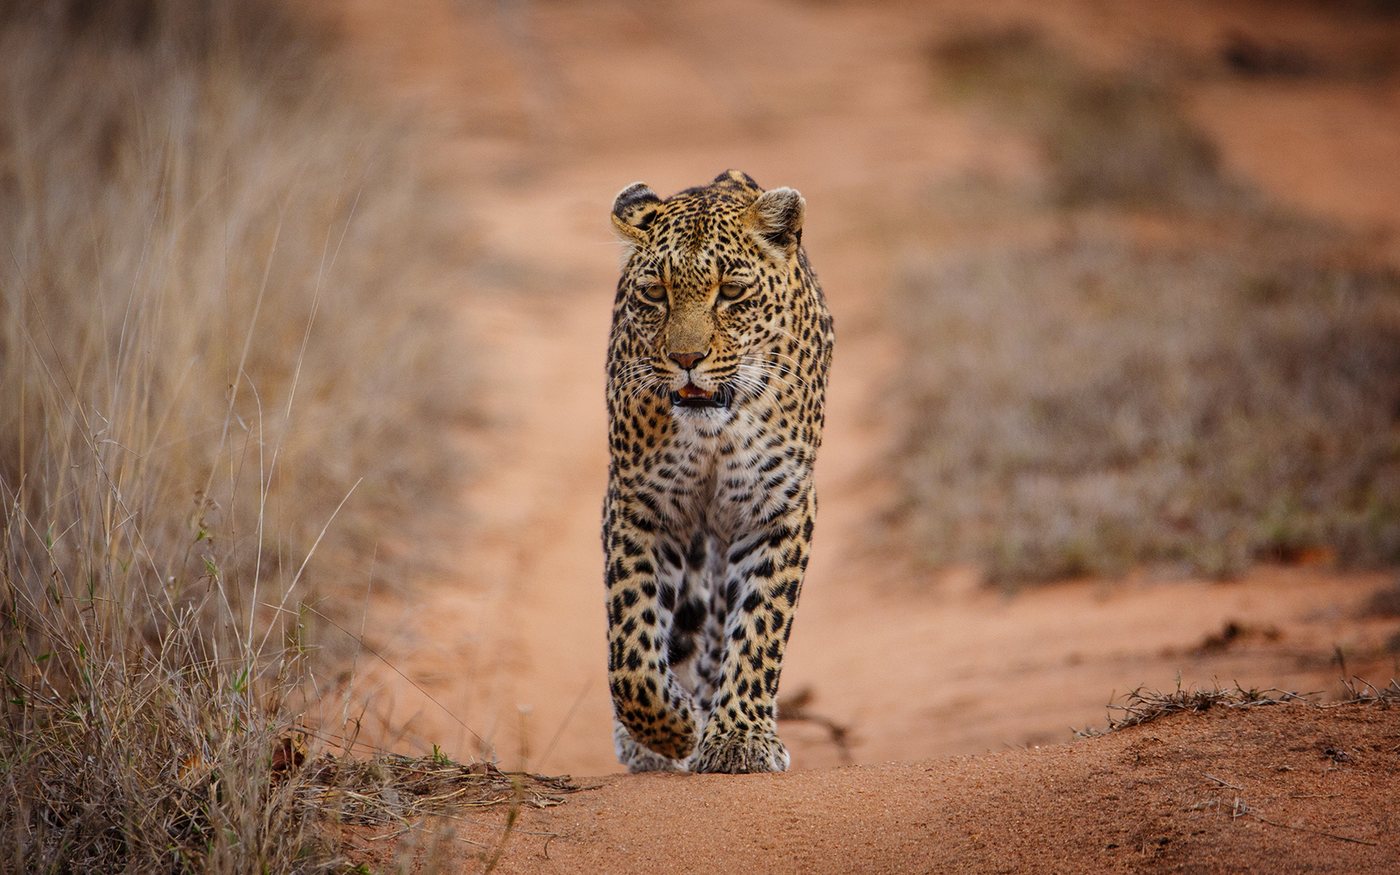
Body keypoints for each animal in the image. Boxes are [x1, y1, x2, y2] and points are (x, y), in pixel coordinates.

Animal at [603, 169, 834, 774]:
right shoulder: (641, 505)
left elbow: (759, 629)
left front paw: (738, 739)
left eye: (730, 292)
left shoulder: (777, 505)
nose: (687, 359)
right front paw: (671, 731)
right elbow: (631, 650)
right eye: (655, 293)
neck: (712, 430)